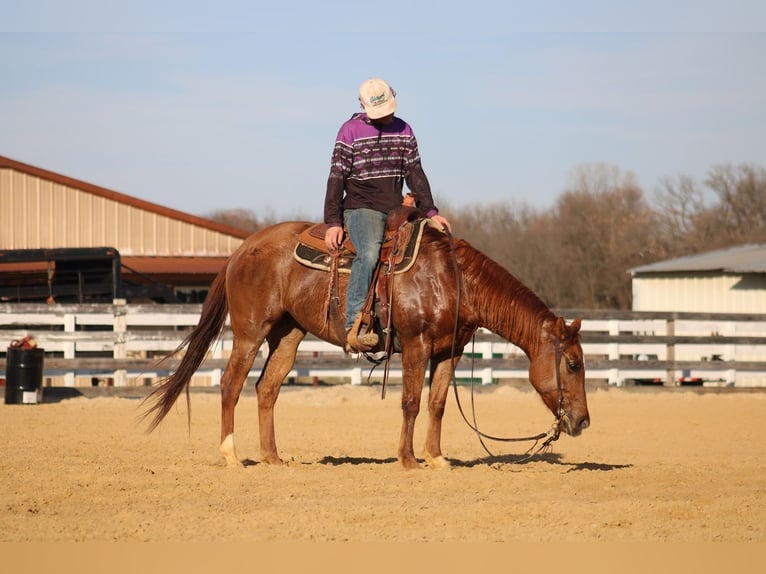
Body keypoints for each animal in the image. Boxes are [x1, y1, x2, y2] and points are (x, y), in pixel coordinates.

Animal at [142, 217, 590, 469]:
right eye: (572, 364)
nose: (583, 421)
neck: (453, 278)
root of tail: (241, 250)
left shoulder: (449, 352)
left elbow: (437, 404)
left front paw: (437, 458)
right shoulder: (416, 345)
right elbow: (411, 402)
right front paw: (408, 460)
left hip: (287, 334)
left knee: (266, 389)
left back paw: (273, 457)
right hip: (250, 332)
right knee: (231, 385)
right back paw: (231, 455)